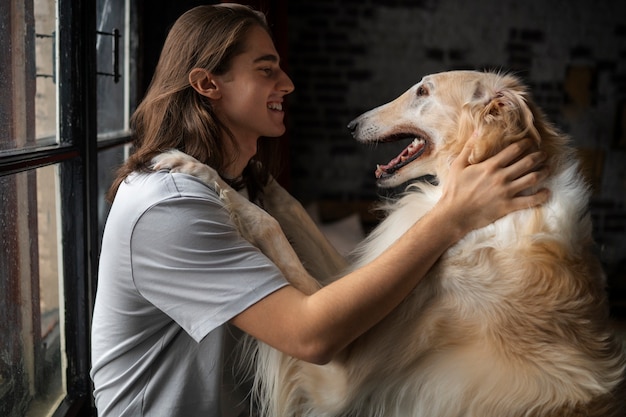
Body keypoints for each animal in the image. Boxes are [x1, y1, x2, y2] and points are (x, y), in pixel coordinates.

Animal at [152, 70, 624, 414]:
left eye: (423, 91)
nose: (351, 125)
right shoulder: (354, 285)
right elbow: (290, 208)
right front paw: (248, 168)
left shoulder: (338, 375)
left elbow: (266, 222)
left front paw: (192, 164)